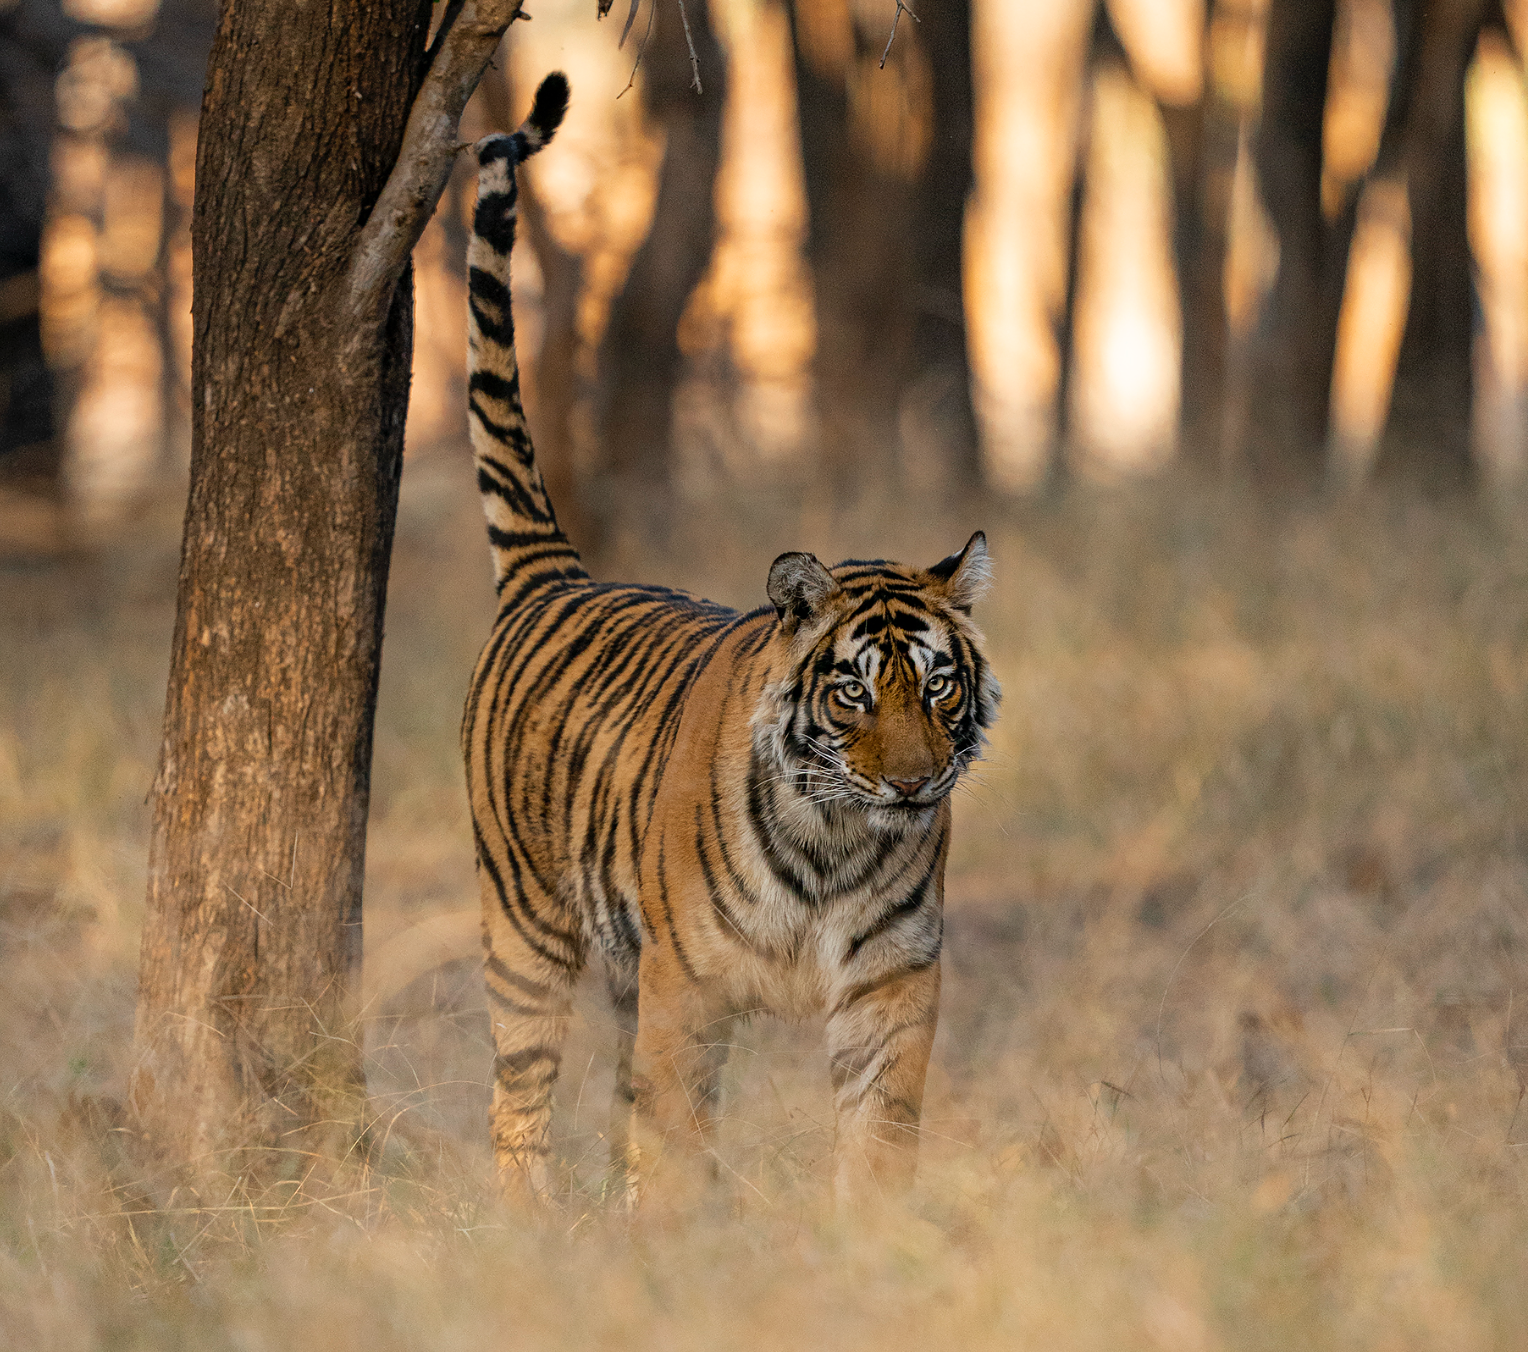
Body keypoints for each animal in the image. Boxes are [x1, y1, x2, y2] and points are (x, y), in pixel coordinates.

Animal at [462, 72, 1000, 1205]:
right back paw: (523, 1219)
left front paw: (875, 1234)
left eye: (938, 687)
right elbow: (671, 1134)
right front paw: (671, 1234)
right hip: (526, 929)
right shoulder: (687, 984)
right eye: (852, 691)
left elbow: (879, 1134)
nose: (911, 785)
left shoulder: (893, 983)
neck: (838, 841)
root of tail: (557, 574)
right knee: (517, 1098)